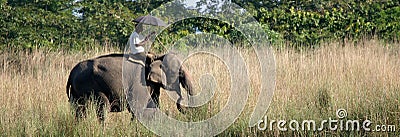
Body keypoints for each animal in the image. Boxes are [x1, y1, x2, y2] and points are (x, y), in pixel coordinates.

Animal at [66, 53, 194, 120]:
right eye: (179, 73)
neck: (156, 57)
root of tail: (72, 73)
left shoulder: (152, 85)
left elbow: (154, 106)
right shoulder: (140, 83)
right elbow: (137, 108)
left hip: (75, 92)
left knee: (78, 111)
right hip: (90, 86)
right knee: (103, 108)